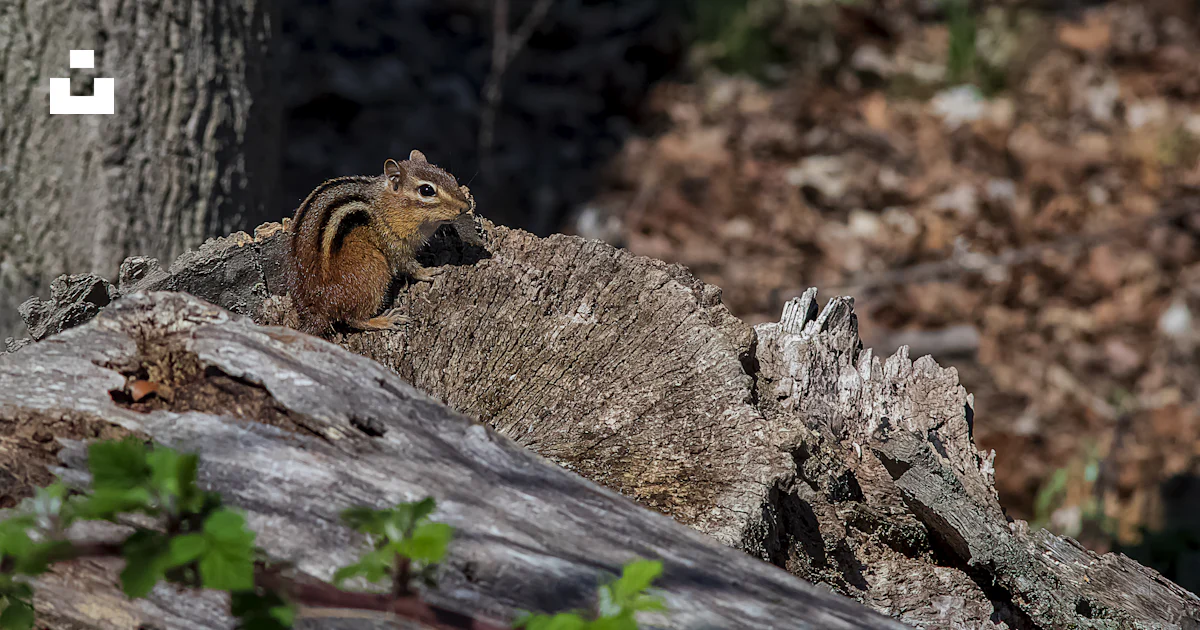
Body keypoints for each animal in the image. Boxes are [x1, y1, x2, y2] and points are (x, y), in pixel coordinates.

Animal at [284, 150, 481, 336]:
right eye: (426, 190)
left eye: (451, 177)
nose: (466, 206)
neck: (386, 206)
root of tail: (318, 311)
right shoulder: (393, 241)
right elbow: (407, 265)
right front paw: (428, 272)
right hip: (373, 270)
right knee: (354, 319)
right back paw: (384, 320)